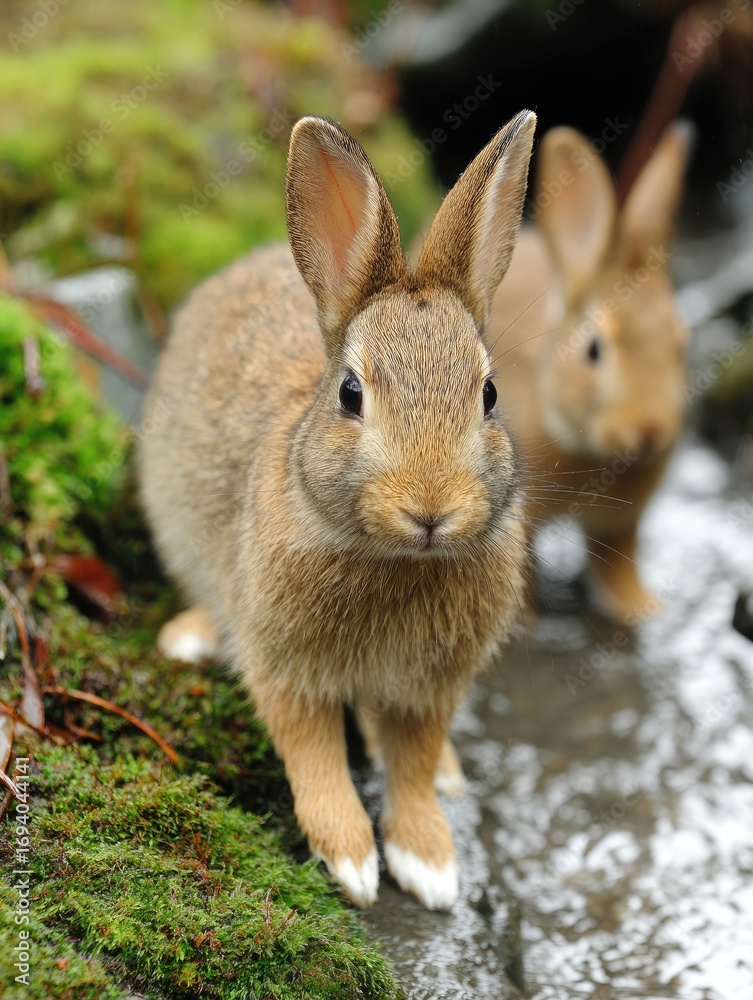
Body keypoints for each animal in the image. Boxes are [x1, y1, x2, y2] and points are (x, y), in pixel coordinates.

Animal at [139, 110, 537, 911]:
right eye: (351, 394)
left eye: (489, 395)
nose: (430, 509)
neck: (394, 559)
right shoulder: (287, 665)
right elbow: (314, 754)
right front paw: (352, 861)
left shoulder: (427, 688)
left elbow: (411, 764)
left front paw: (429, 864)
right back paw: (189, 638)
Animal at [487, 122, 692, 624]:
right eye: (595, 350)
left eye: (681, 343)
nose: (649, 429)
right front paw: (524, 621)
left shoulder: (621, 525)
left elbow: (617, 562)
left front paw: (639, 609)